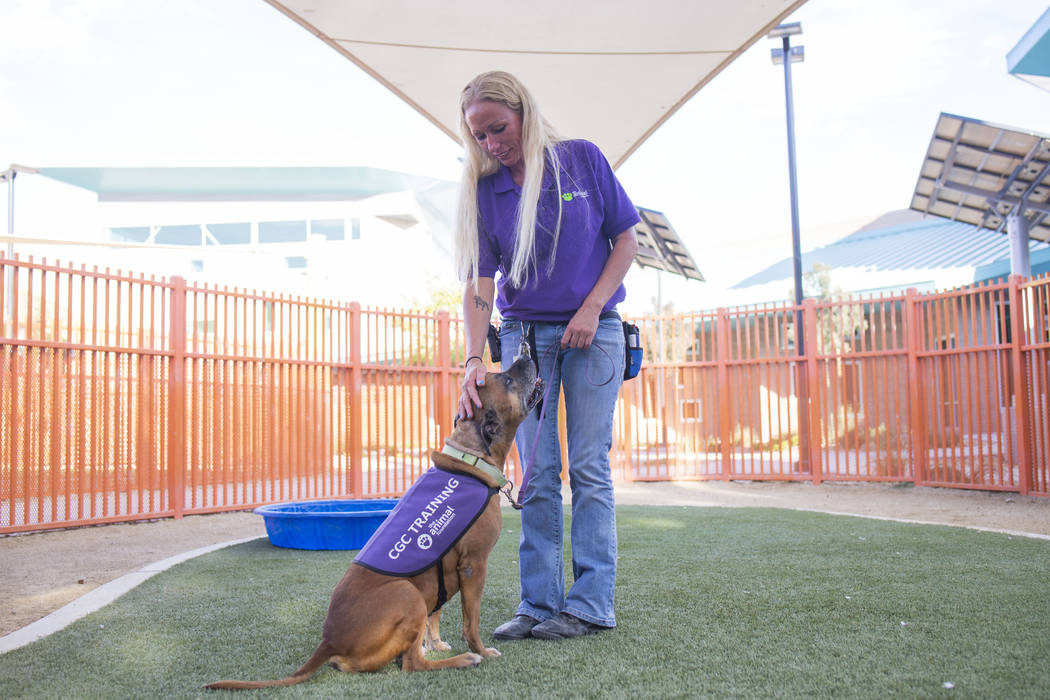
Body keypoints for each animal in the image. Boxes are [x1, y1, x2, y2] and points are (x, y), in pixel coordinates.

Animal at [204, 352, 541, 688]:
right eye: (507, 380)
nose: (525, 354)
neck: (471, 459)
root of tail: (328, 640)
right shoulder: (474, 565)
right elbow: (471, 621)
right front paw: (481, 650)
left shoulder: (442, 580)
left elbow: (437, 614)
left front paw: (435, 642)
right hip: (407, 594)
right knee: (412, 665)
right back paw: (463, 660)